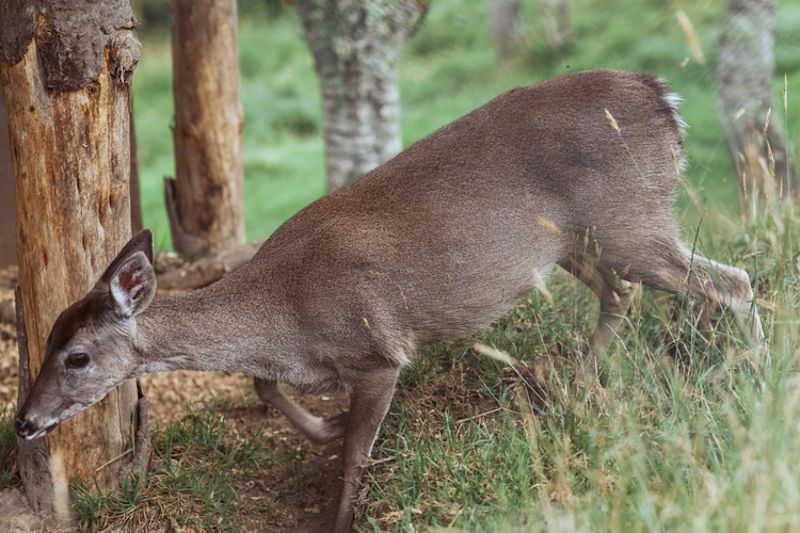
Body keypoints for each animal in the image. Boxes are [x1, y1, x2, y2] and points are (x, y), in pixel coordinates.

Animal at [14, 68, 764, 528]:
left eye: (78, 356)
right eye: (46, 336)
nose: (23, 422)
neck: (282, 309)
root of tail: (664, 99)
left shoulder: (376, 350)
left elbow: (354, 455)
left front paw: (342, 505)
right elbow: (262, 384)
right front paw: (325, 424)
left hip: (632, 222)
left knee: (730, 282)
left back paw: (750, 372)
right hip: (583, 242)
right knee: (623, 294)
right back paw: (570, 385)